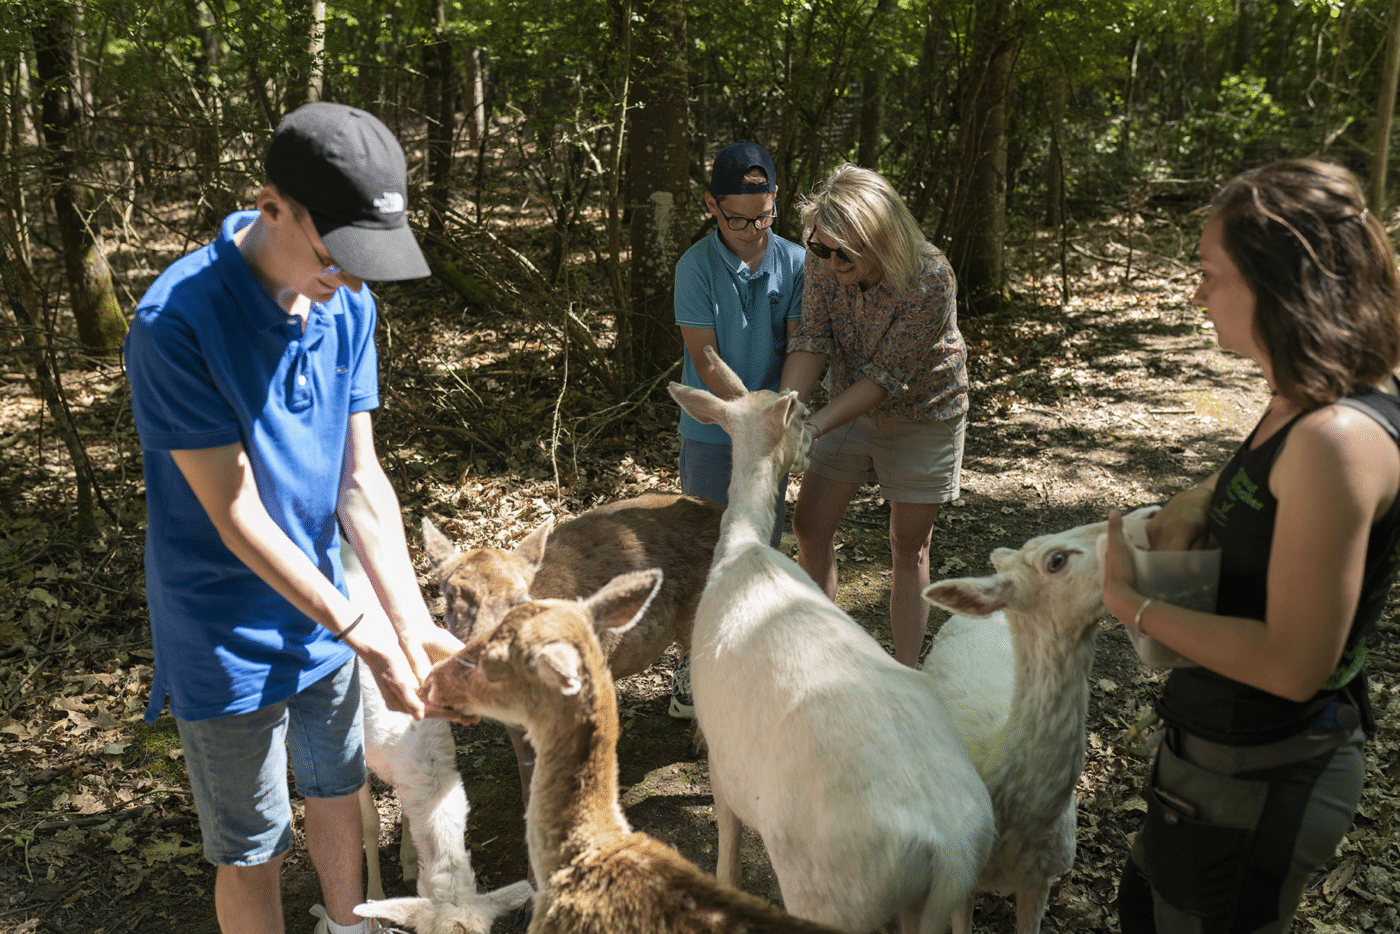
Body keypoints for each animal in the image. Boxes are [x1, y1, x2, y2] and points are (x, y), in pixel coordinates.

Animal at [666, 348, 996, 934]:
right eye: (799, 417)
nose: (813, 443)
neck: (742, 549)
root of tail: (950, 852)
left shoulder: (723, 761)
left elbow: (727, 854)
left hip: (829, 892)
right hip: (961, 884)